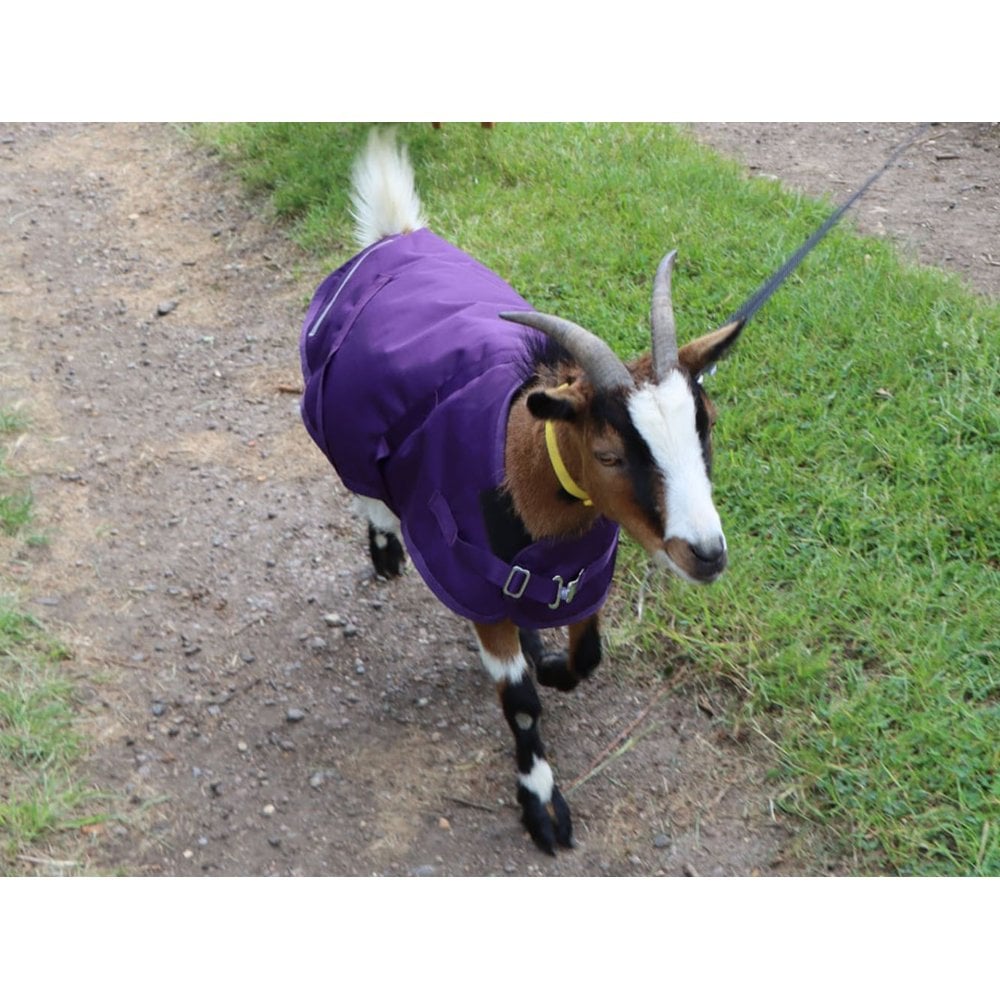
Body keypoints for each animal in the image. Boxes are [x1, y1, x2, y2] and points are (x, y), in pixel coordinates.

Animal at [299, 130, 743, 854]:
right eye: (609, 454)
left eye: (708, 425)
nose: (706, 553)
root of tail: (394, 236)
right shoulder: (473, 587)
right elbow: (523, 707)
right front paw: (542, 806)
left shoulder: (584, 577)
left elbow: (588, 654)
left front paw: (555, 663)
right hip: (339, 420)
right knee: (361, 484)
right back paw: (385, 549)